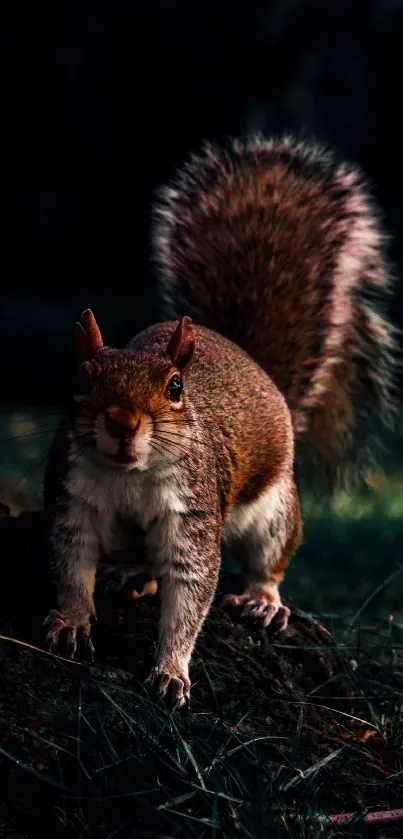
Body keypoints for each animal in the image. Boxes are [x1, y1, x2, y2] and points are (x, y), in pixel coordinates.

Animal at [42, 133, 396, 708]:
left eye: (175, 388)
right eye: (81, 379)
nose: (121, 421)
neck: (129, 475)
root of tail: (254, 368)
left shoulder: (195, 512)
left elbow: (191, 591)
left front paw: (171, 669)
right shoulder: (72, 499)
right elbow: (71, 565)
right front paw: (72, 621)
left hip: (274, 507)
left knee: (270, 555)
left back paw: (262, 598)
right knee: (143, 561)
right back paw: (130, 573)